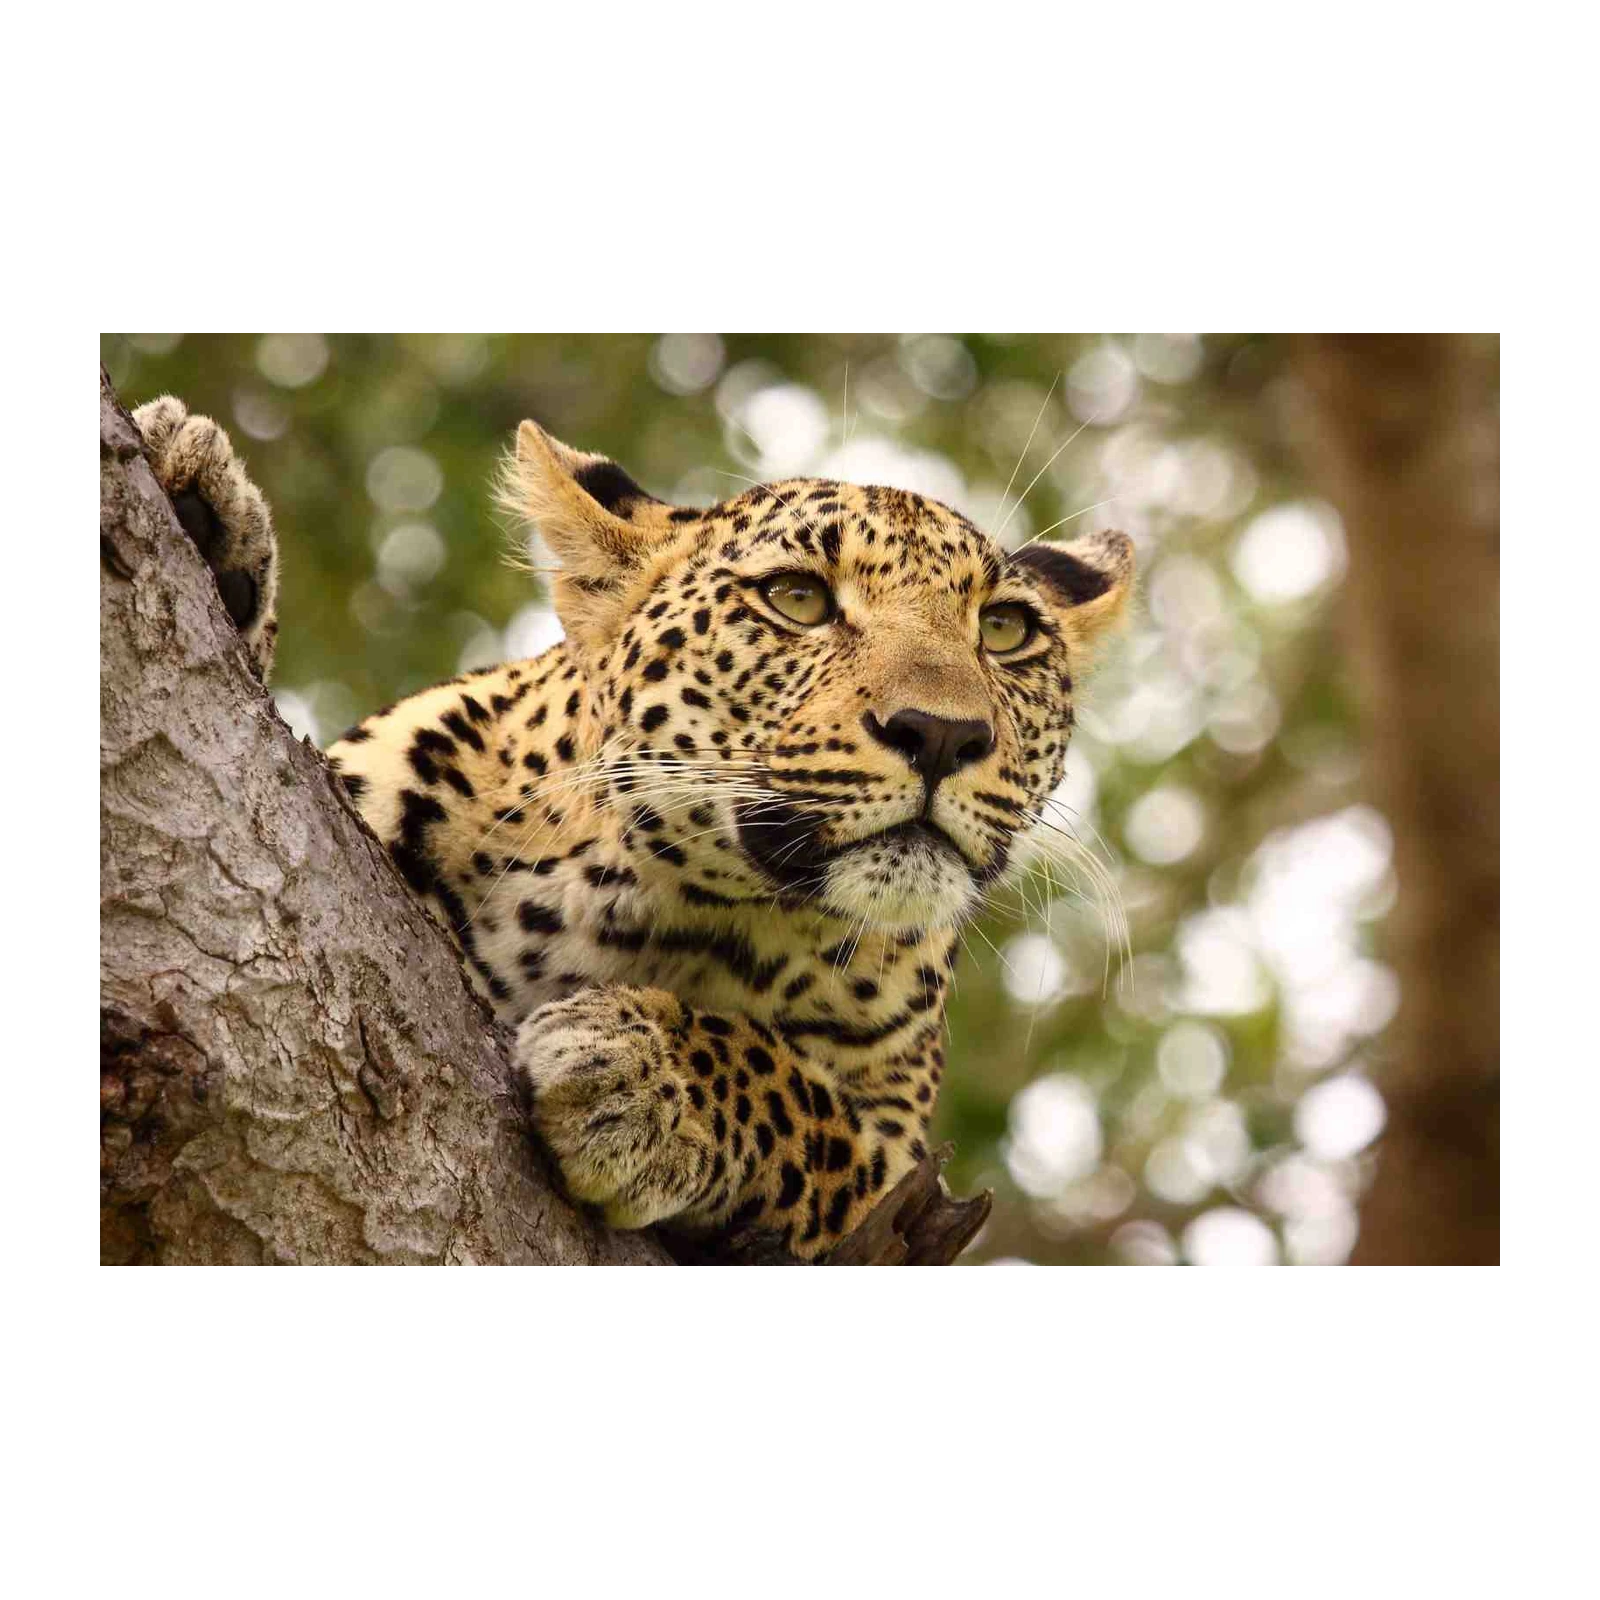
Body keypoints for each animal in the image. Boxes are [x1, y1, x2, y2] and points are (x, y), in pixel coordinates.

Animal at [132, 394, 1134, 1261]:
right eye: (799, 599)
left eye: (1003, 630)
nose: (942, 734)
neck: (646, 906)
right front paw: (201, 512)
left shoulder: (897, 1154)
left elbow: (795, 1100)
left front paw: (638, 1078)